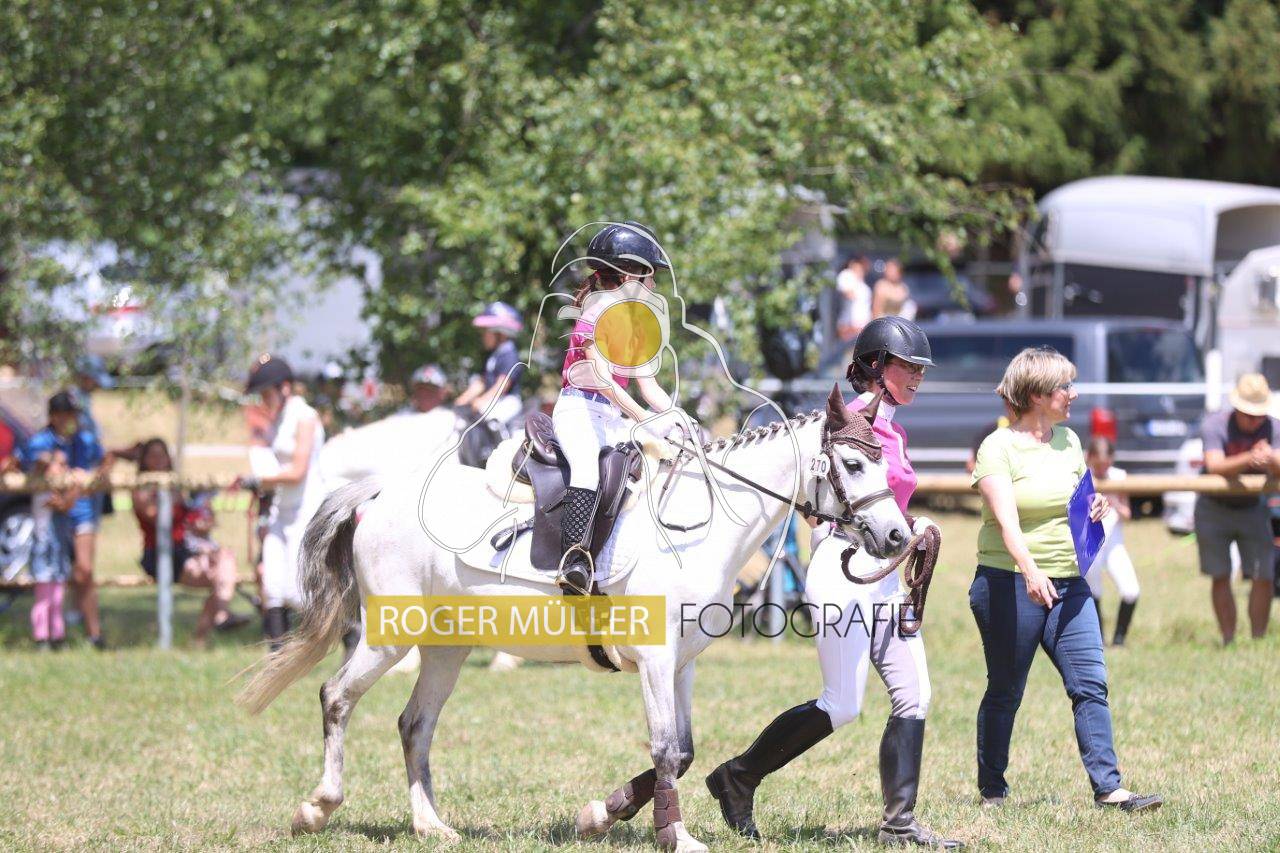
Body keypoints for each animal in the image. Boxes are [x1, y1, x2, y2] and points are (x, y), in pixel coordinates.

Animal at [237, 385, 910, 851]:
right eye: (854, 466)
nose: (898, 537)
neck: (698, 526)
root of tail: (382, 492)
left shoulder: (683, 665)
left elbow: (684, 752)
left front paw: (602, 816)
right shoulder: (655, 661)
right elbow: (666, 749)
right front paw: (675, 837)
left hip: (446, 647)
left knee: (415, 726)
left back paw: (432, 826)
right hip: (388, 638)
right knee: (336, 697)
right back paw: (317, 808)